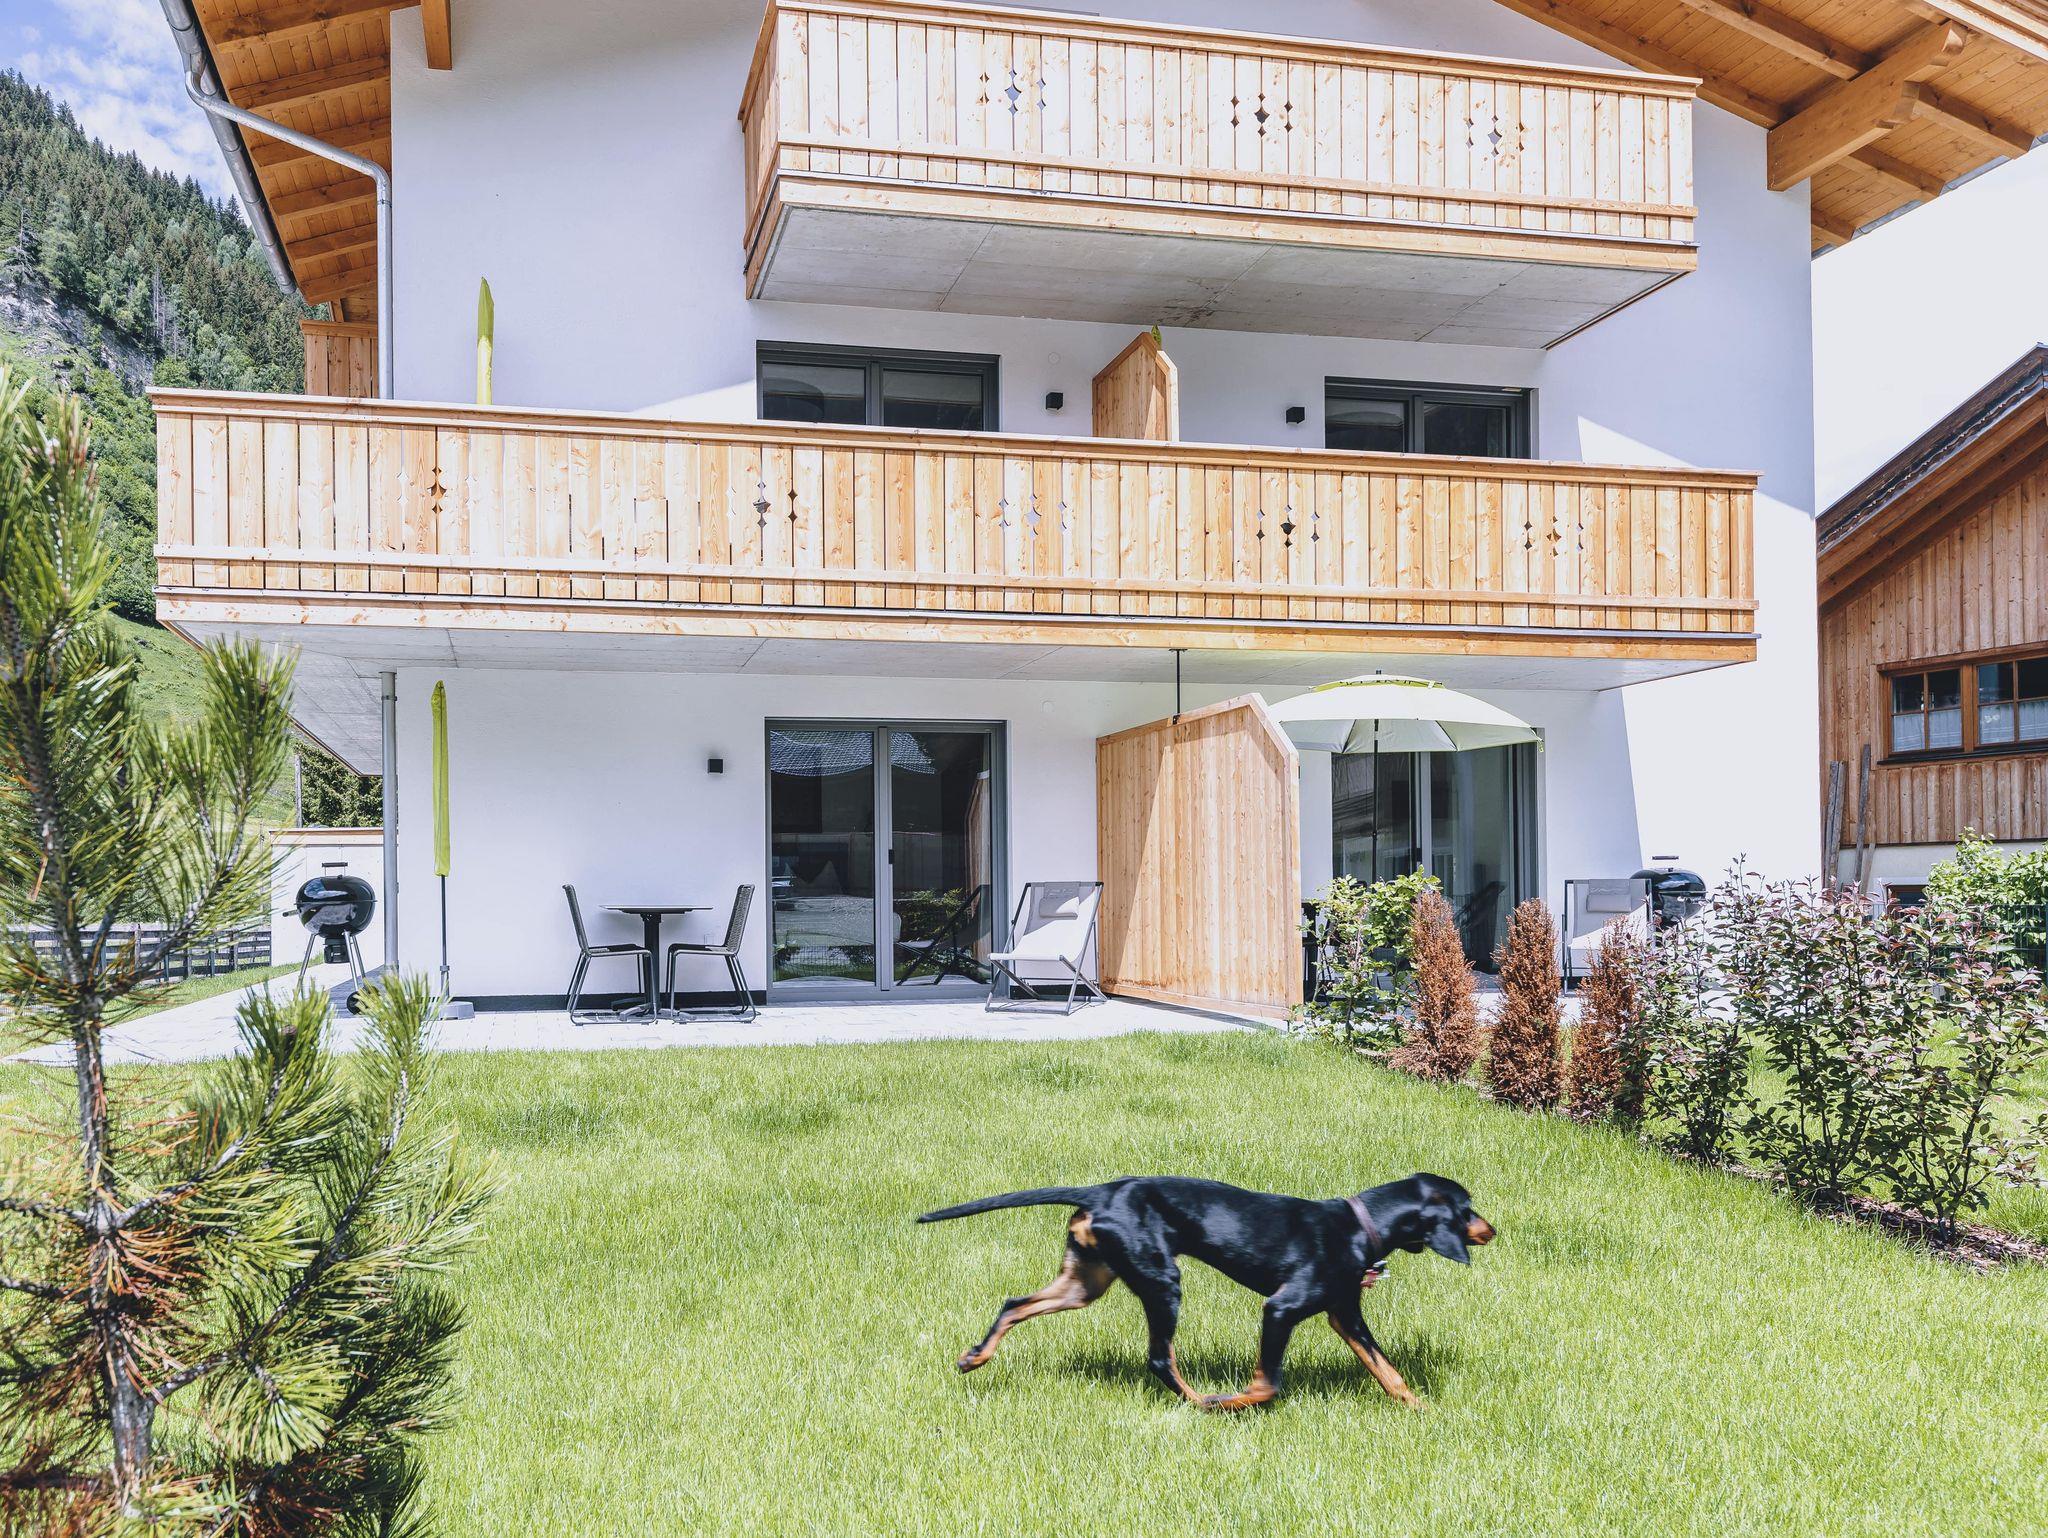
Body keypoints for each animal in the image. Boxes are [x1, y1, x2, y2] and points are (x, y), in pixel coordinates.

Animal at [917, 1172, 1491, 1410]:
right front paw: (1233, 1400)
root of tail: (1100, 1192)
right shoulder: (1280, 1309)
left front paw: (1424, 1411)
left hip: (1085, 1282)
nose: (1491, 1229)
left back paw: (975, 1357)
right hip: (1162, 1282)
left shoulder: (1343, 1314)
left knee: (1014, 1304)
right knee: (1159, 1360)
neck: (1359, 1225)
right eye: (1467, 1210)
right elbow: (1267, 1384)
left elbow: (1389, 1373)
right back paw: (1201, 1402)